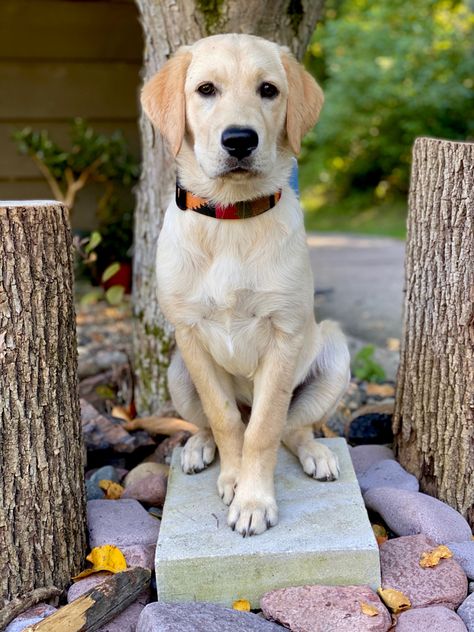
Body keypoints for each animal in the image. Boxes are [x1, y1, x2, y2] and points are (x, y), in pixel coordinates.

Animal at [141, 33, 348, 540]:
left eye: (268, 90)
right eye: (206, 90)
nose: (239, 140)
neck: (231, 217)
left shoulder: (284, 334)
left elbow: (264, 429)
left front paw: (254, 500)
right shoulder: (190, 333)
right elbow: (226, 420)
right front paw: (235, 481)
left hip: (333, 353)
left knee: (294, 428)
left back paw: (317, 454)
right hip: (177, 369)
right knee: (210, 422)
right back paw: (198, 448)